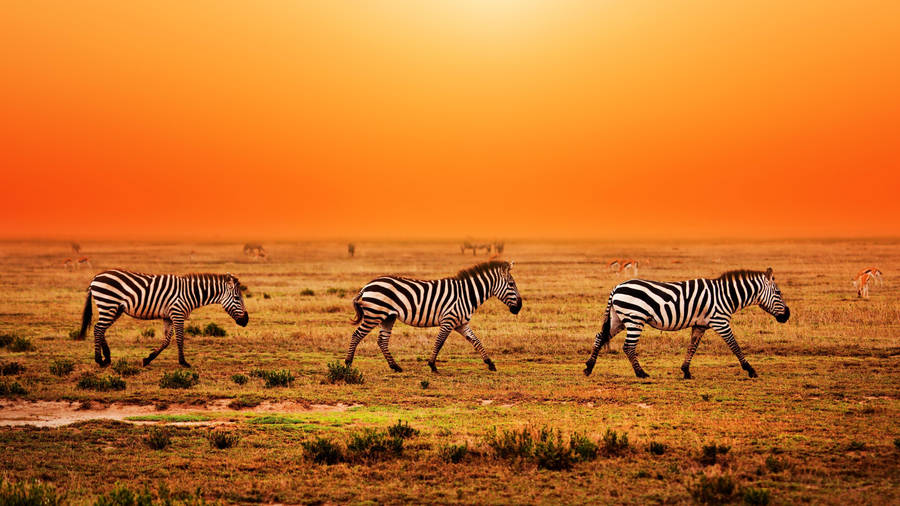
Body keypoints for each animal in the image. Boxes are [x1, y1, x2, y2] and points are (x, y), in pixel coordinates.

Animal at [78, 270, 249, 367]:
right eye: (237, 298)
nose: (246, 321)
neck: (191, 293)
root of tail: (95, 278)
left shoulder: (169, 317)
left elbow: (166, 341)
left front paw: (147, 359)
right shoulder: (178, 314)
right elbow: (180, 339)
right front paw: (183, 362)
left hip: (114, 308)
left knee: (101, 329)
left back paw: (107, 358)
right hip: (108, 304)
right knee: (98, 328)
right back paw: (99, 360)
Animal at [346, 260, 523, 373]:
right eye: (511, 284)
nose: (519, 307)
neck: (467, 294)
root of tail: (367, 286)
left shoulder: (461, 323)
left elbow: (476, 341)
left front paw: (490, 364)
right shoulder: (449, 320)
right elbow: (439, 343)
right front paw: (432, 365)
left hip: (388, 317)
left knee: (382, 341)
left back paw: (395, 367)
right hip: (374, 314)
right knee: (357, 335)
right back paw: (348, 363)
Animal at [584, 268, 789, 380]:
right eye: (778, 293)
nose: (787, 315)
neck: (727, 296)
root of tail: (617, 287)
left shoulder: (700, 325)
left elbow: (692, 347)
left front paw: (686, 371)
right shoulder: (720, 321)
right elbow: (735, 346)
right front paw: (751, 370)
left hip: (618, 319)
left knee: (600, 336)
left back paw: (589, 367)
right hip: (635, 318)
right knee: (628, 346)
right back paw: (641, 373)